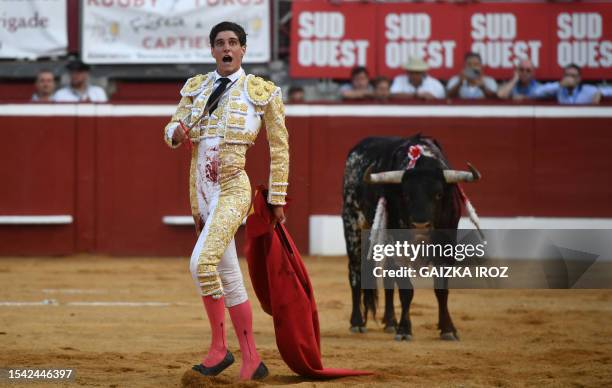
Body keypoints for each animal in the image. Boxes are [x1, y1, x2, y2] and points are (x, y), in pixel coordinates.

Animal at [342, 135, 480, 342]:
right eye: (406, 195)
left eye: (438, 194)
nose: (420, 226)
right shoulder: (398, 247)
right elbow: (406, 290)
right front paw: (405, 329)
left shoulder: (447, 247)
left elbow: (441, 289)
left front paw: (448, 329)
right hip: (352, 224)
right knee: (356, 272)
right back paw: (357, 323)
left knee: (387, 276)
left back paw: (390, 322)